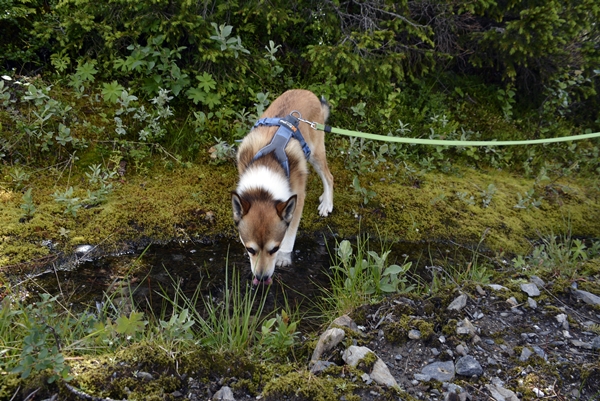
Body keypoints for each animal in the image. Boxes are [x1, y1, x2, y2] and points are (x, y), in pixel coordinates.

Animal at [232, 90, 332, 284]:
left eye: (275, 249)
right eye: (250, 250)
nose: (261, 278)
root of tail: (307, 92)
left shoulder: (297, 200)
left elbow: (291, 232)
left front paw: (284, 257)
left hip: (316, 153)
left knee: (329, 177)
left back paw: (327, 203)